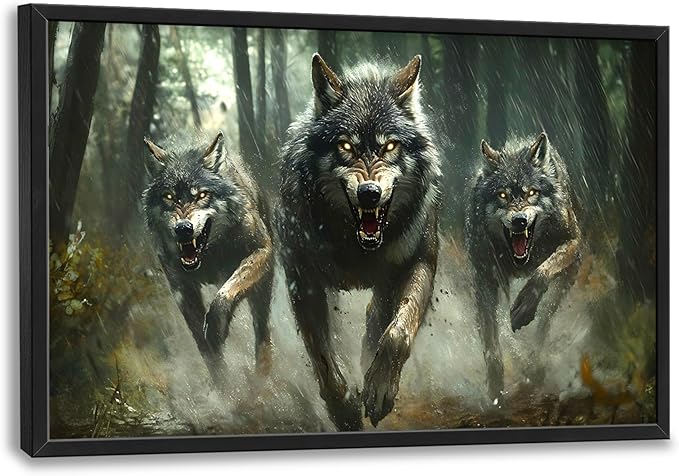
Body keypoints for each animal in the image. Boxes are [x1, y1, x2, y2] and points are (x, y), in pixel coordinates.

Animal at [142, 131, 274, 385]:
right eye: (169, 197)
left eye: (202, 195)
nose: (183, 229)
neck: (211, 255)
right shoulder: (182, 289)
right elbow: (204, 348)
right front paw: (224, 387)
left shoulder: (261, 250)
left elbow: (223, 297)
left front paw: (216, 330)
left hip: (263, 287)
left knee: (262, 334)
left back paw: (262, 381)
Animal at [276, 53, 442, 430]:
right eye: (346, 146)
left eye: (390, 146)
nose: (369, 193)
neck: (356, 247)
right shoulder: (302, 278)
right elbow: (322, 353)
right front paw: (344, 411)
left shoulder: (421, 261)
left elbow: (397, 334)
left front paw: (378, 388)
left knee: (375, 321)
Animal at [464, 132, 582, 402]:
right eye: (502, 195)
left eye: (531, 192)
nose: (519, 220)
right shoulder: (485, 275)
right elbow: (491, 339)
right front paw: (495, 388)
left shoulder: (574, 244)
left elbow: (543, 273)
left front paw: (524, 310)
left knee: (546, 317)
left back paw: (535, 361)